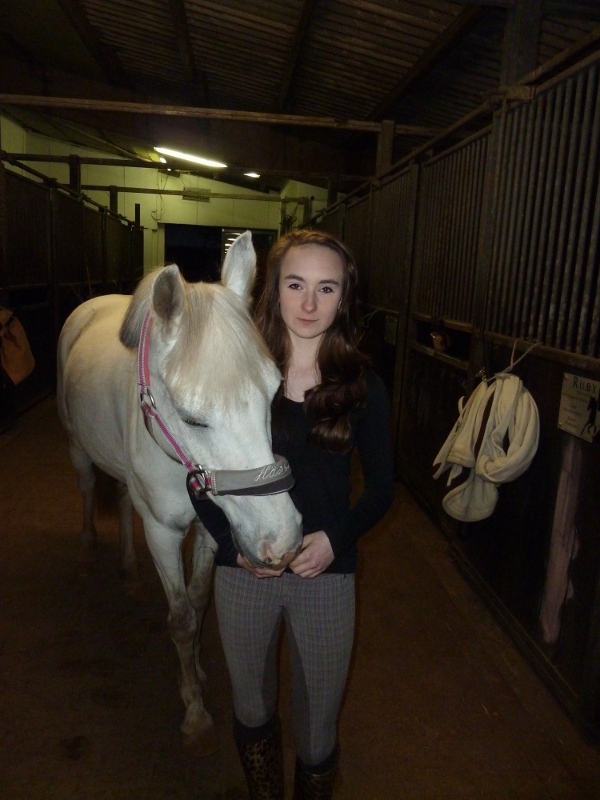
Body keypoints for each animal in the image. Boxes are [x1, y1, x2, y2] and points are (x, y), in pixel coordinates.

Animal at [57, 231, 303, 746]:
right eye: (193, 418)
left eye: (274, 394)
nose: (283, 542)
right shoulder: (163, 531)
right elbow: (182, 618)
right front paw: (193, 706)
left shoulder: (211, 528)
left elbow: (199, 597)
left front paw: (200, 675)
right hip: (76, 445)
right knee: (88, 488)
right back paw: (88, 547)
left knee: (123, 500)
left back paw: (129, 567)